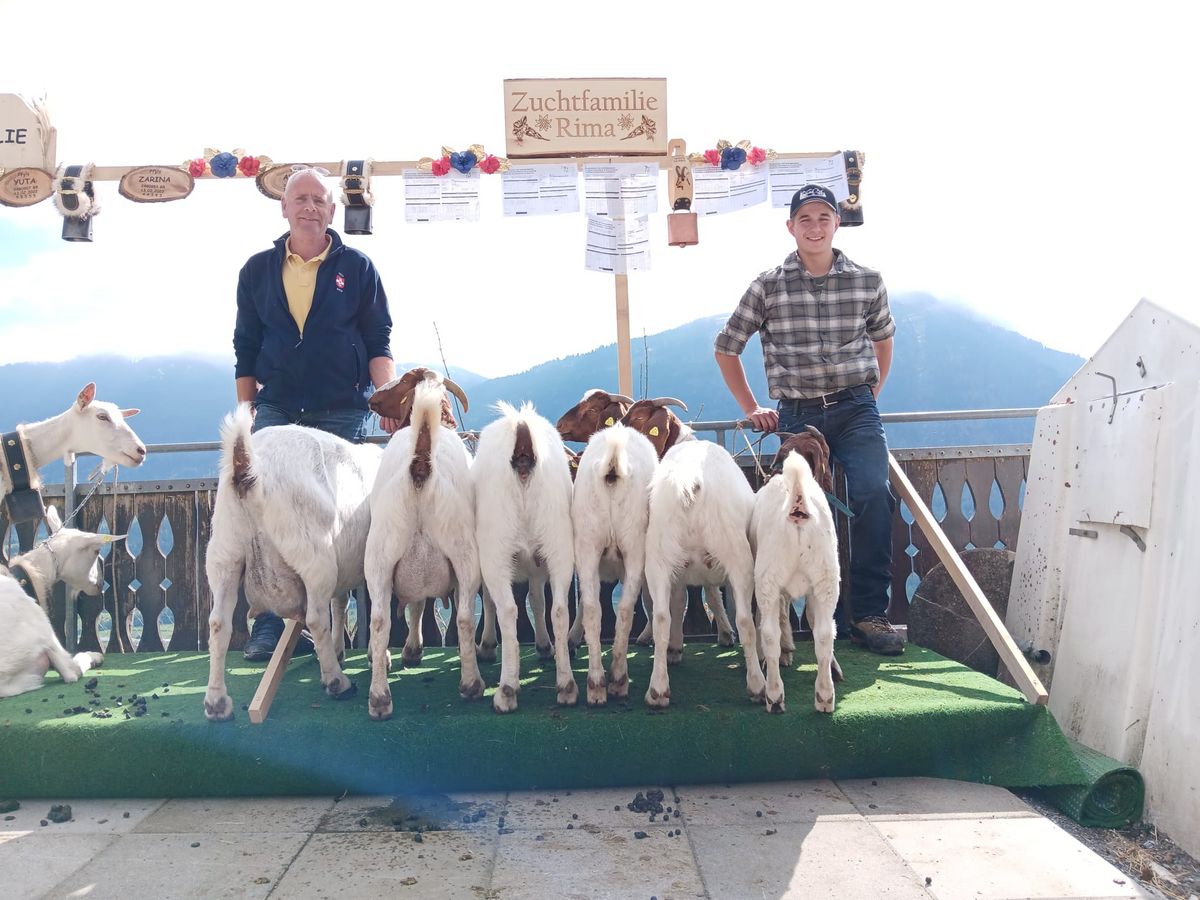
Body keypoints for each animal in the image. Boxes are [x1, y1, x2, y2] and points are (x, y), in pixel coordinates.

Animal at [202, 405, 381, 721]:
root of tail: (247, 465)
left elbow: (340, 602)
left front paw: (340, 648)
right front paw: (364, 654)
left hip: (224, 553)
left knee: (218, 624)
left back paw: (217, 703)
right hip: (313, 555)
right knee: (316, 619)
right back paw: (337, 683)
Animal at [363, 372, 481, 720]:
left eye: (402, 380)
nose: (371, 399)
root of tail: (420, 463)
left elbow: (414, 605)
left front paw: (410, 651)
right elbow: (419, 604)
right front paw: (413, 651)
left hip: (380, 555)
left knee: (379, 620)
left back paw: (379, 697)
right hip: (463, 552)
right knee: (465, 617)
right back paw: (471, 684)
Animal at [473, 402, 575, 712]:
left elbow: (490, 602)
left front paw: (486, 646)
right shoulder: (538, 566)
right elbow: (538, 601)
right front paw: (543, 645)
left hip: (496, 547)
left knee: (507, 609)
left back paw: (506, 690)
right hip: (559, 541)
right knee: (560, 609)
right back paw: (566, 686)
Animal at [625, 399, 763, 708]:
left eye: (637, 418)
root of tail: (689, 481)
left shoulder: (679, 569)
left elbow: (679, 604)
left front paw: (676, 648)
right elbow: (711, 596)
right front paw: (722, 636)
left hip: (659, 555)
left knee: (661, 617)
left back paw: (657, 690)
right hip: (736, 554)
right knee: (745, 619)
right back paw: (759, 685)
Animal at [751, 437, 842, 713]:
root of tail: (797, 506)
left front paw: (786, 651)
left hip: (769, 579)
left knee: (770, 632)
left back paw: (774, 695)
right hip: (826, 578)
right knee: (825, 633)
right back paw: (824, 696)